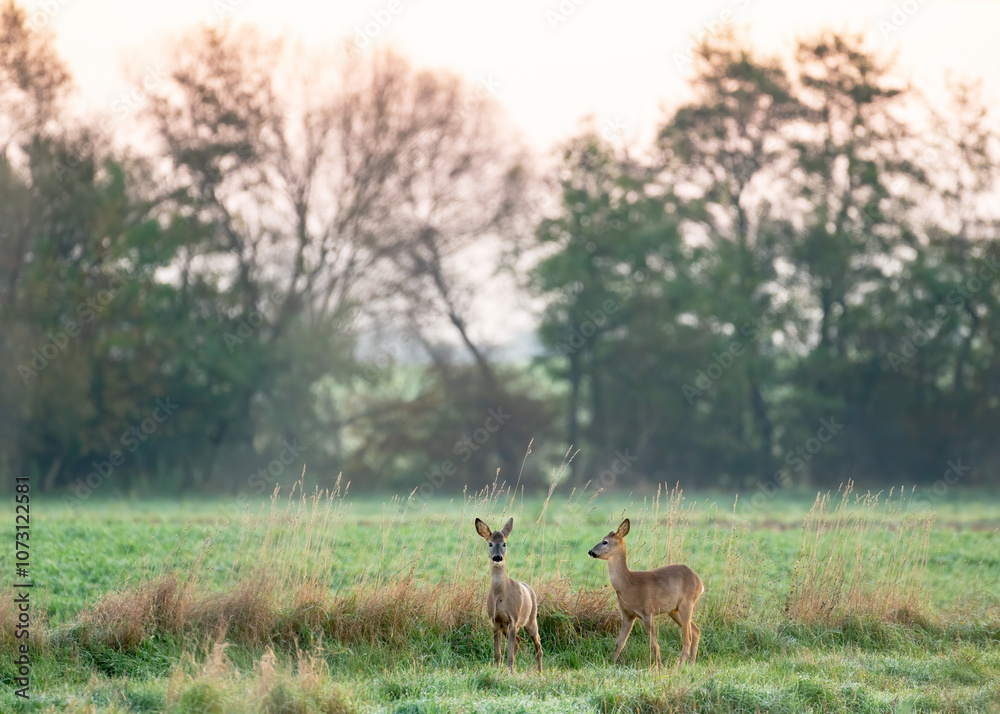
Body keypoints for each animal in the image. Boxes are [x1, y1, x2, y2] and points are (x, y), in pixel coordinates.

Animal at [474, 517, 543, 673]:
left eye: (504, 543)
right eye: (490, 543)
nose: (497, 557)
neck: (501, 595)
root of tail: (529, 588)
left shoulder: (513, 619)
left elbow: (509, 652)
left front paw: (511, 671)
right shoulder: (494, 621)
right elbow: (497, 653)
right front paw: (497, 669)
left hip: (531, 621)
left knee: (538, 643)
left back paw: (539, 671)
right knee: (518, 642)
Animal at [588, 518, 704, 667]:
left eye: (605, 542)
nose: (590, 551)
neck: (628, 584)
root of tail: (700, 582)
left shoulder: (647, 612)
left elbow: (654, 644)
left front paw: (659, 666)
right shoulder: (627, 615)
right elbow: (619, 643)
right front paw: (610, 663)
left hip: (687, 604)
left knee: (687, 638)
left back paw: (680, 665)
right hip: (674, 610)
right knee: (696, 631)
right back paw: (691, 664)